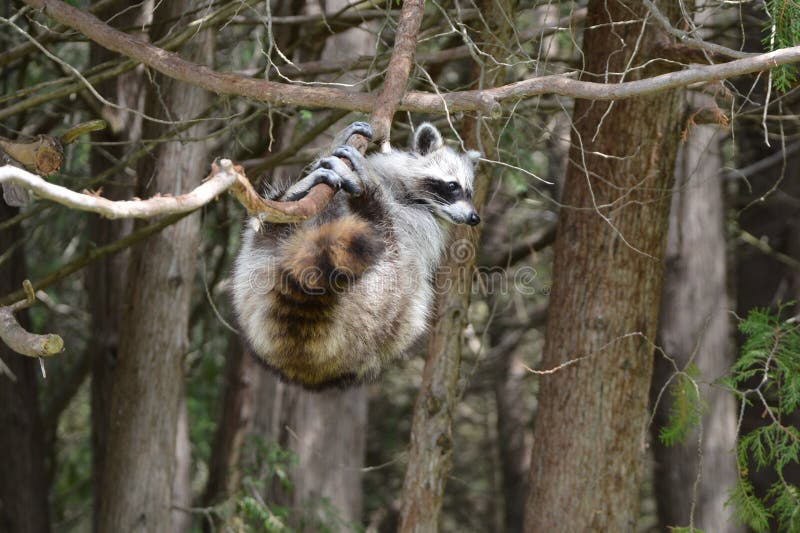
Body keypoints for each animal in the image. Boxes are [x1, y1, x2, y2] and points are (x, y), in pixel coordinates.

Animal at [231, 119, 482, 386]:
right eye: (453, 186)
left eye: (469, 192)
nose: (474, 218)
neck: (411, 195)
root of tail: (307, 364)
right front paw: (334, 146)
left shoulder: (424, 229)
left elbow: (398, 235)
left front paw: (369, 183)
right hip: (253, 274)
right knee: (265, 237)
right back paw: (291, 198)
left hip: (383, 307)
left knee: (387, 244)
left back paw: (368, 196)